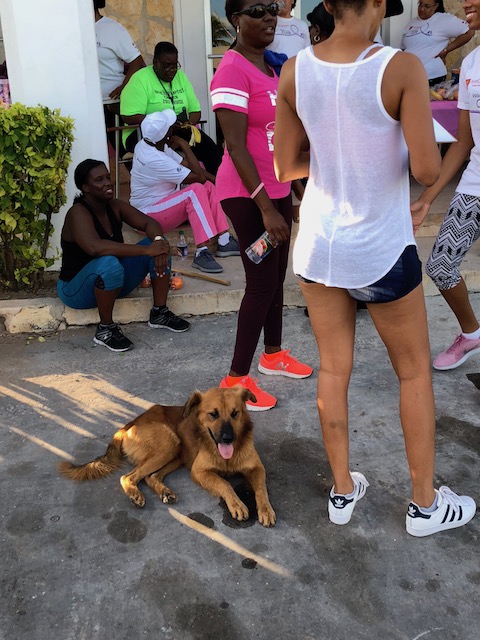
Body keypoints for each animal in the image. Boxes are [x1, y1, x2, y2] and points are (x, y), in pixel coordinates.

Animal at [59, 388, 276, 528]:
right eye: (213, 414)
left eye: (235, 413)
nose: (228, 438)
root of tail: (130, 424)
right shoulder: (199, 471)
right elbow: (224, 483)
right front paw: (237, 504)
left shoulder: (257, 468)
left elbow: (261, 489)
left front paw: (266, 510)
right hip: (169, 444)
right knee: (128, 476)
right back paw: (135, 494)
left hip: (176, 454)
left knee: (150, 476)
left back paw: (165, 492)